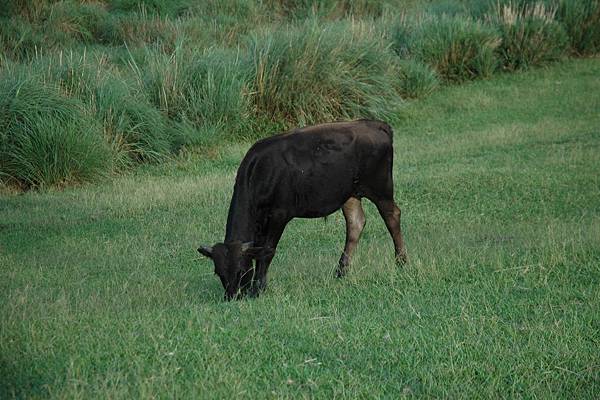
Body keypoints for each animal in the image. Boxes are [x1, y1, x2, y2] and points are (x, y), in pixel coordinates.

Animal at [197, 119, 408, 300]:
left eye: (241, 270)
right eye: (219, 273)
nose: (232, 296)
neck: (259, 171)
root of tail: (372, 123)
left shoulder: (279, 214)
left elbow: (267, 250)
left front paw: (258, 289)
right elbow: (259, 250)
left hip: (381, 188)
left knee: (392, 216)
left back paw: (401, 262)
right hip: (349, 193)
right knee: (355, 223)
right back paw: (340, 271)